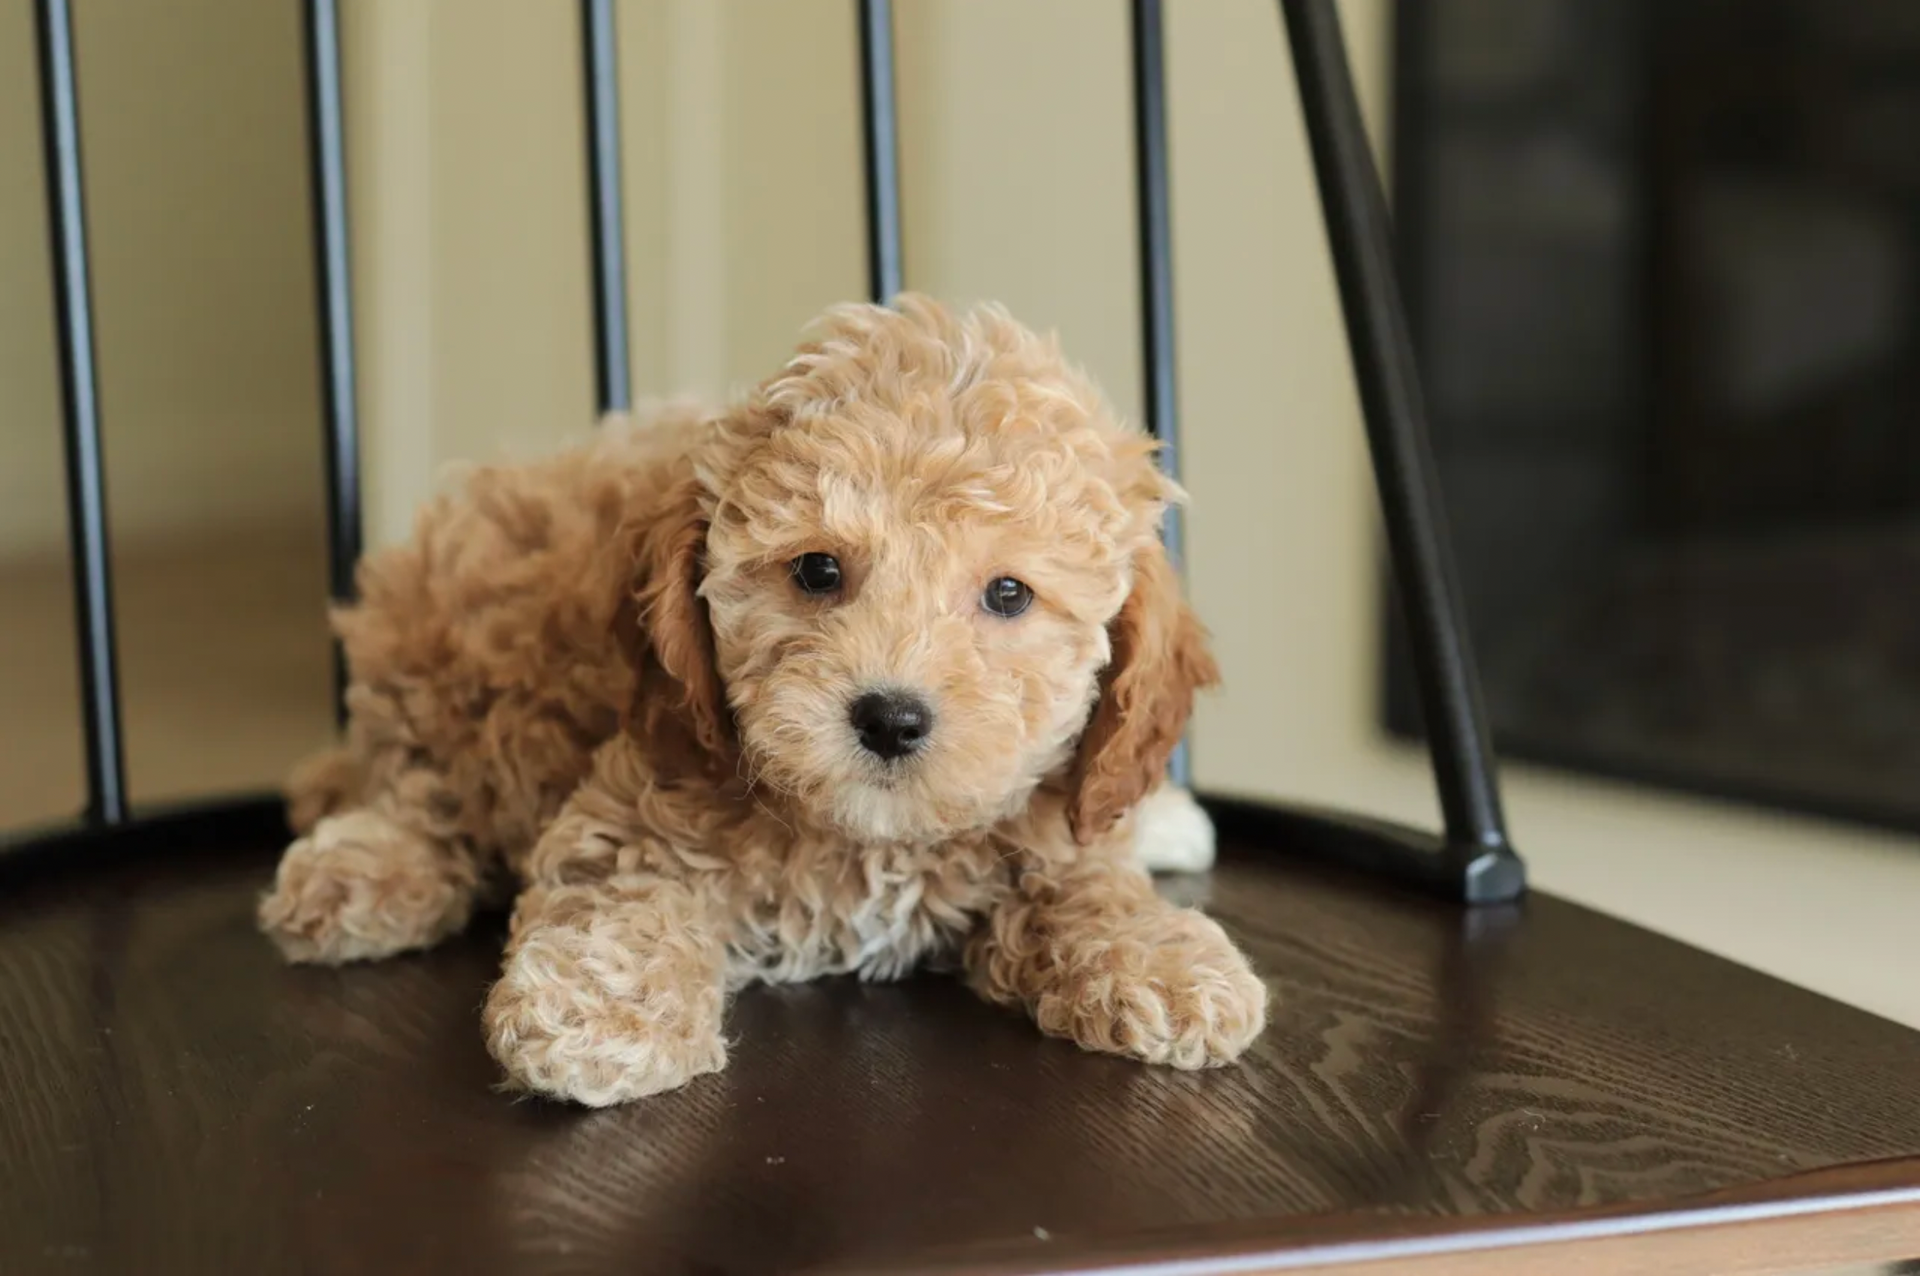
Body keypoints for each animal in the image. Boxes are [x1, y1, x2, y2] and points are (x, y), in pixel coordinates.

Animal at [260, 296, 1268, 1106]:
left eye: (1010, 594)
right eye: (817, 570)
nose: (890, 717)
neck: (866, 839)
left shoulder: (1050, 821)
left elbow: (1083, 883)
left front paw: (1164, 960)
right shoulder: (641, 797)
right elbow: (626, 896)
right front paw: (597, 1017)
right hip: (445, 661)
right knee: (419, 786)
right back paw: (360, 869)